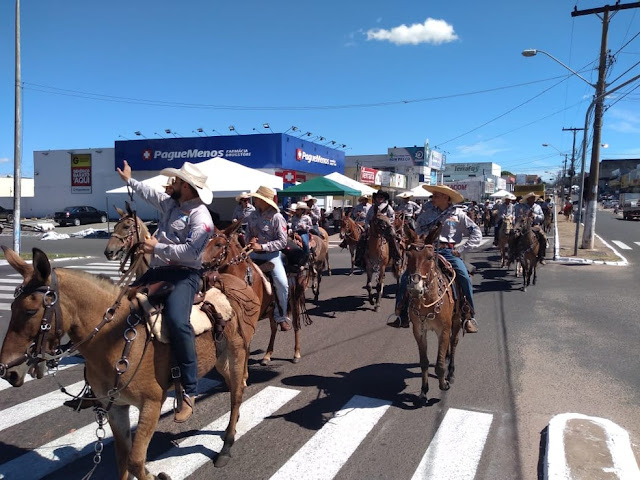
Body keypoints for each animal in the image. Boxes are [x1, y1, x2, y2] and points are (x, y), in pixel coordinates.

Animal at [0, 248, 260, 476]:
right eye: (11, 307)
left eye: (31, 311)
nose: (7, 371)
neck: (114, 339)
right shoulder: (116, 406)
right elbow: (123, 459)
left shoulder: (151, 405)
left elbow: (136, 462)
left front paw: (159, 476)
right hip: (220, 360)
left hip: (236, 355)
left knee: (236, 396)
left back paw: (226, 446)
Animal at [398, 227, 462, 404]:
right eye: (408, 255)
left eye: (430, 257)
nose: (415, 287)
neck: (428, 301)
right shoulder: (419, 331)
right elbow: (424, 362)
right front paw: (423, 391)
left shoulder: (444, 330)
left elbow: (439, 365)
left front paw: (443, 384)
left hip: (457, 320)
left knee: (454, 343)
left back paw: (451, 372)